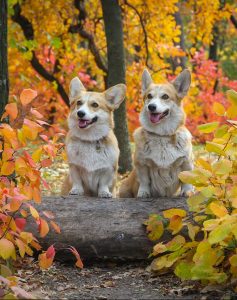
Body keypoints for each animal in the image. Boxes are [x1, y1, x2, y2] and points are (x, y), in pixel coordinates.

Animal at [119, 69, 193, 198]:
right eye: (149, 96)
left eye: (165, 96)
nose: (151, 106)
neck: (161, 135)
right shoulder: (141, 164)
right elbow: (144, 181)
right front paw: (143, 193)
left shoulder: (186, 161)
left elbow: (186, 179)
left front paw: (187, 192)